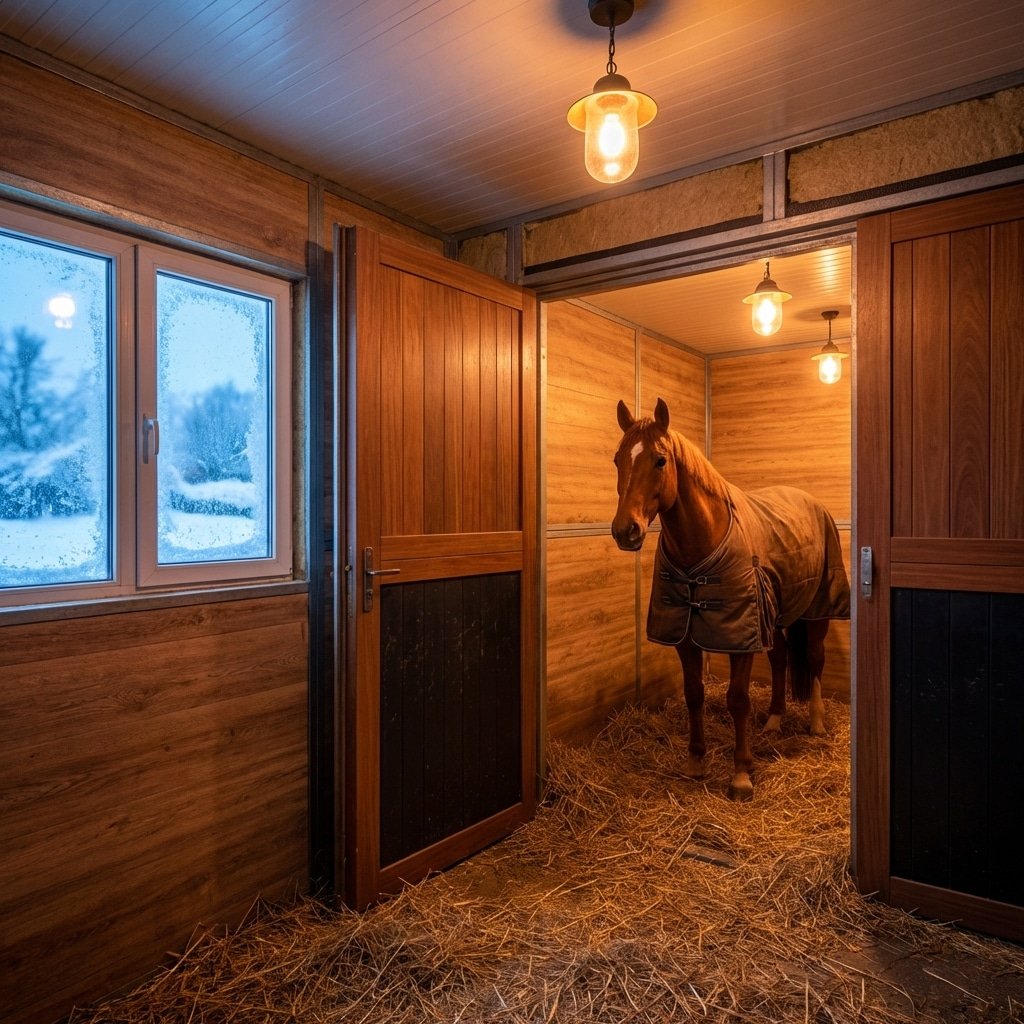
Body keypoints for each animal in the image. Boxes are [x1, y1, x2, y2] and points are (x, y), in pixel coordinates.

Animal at [611, 398, 850, 800]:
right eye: (617, 459)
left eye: (660, 460)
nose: (625, 531)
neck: (703, 542)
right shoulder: (687, 635)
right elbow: (694, 693)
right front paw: (695, 762)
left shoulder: (741, 638)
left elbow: (737, 699)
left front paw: (741, 775)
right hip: (774, 617)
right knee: (781, 658)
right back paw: (774, 720)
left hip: (817, 611)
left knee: (815, 660)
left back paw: (816, 722)